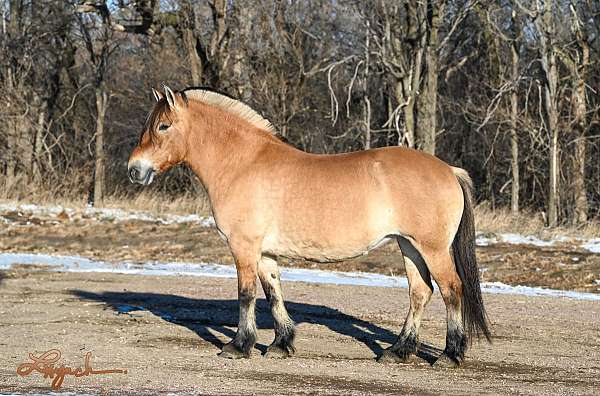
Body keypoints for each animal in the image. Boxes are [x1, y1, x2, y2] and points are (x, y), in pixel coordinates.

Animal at [127, 85, 492, 366]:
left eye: (163, 126)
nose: (135, 169)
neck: (243, 163)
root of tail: (449, 170)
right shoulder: (264, 253)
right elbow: (273, 293)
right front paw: (280, 344)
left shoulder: (243, 247)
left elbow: (246, 295)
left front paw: (238, 346)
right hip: (408, 245)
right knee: (420, 292)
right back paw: (398, 351)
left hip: (431, 248)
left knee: (451, 289)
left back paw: (449, 355)